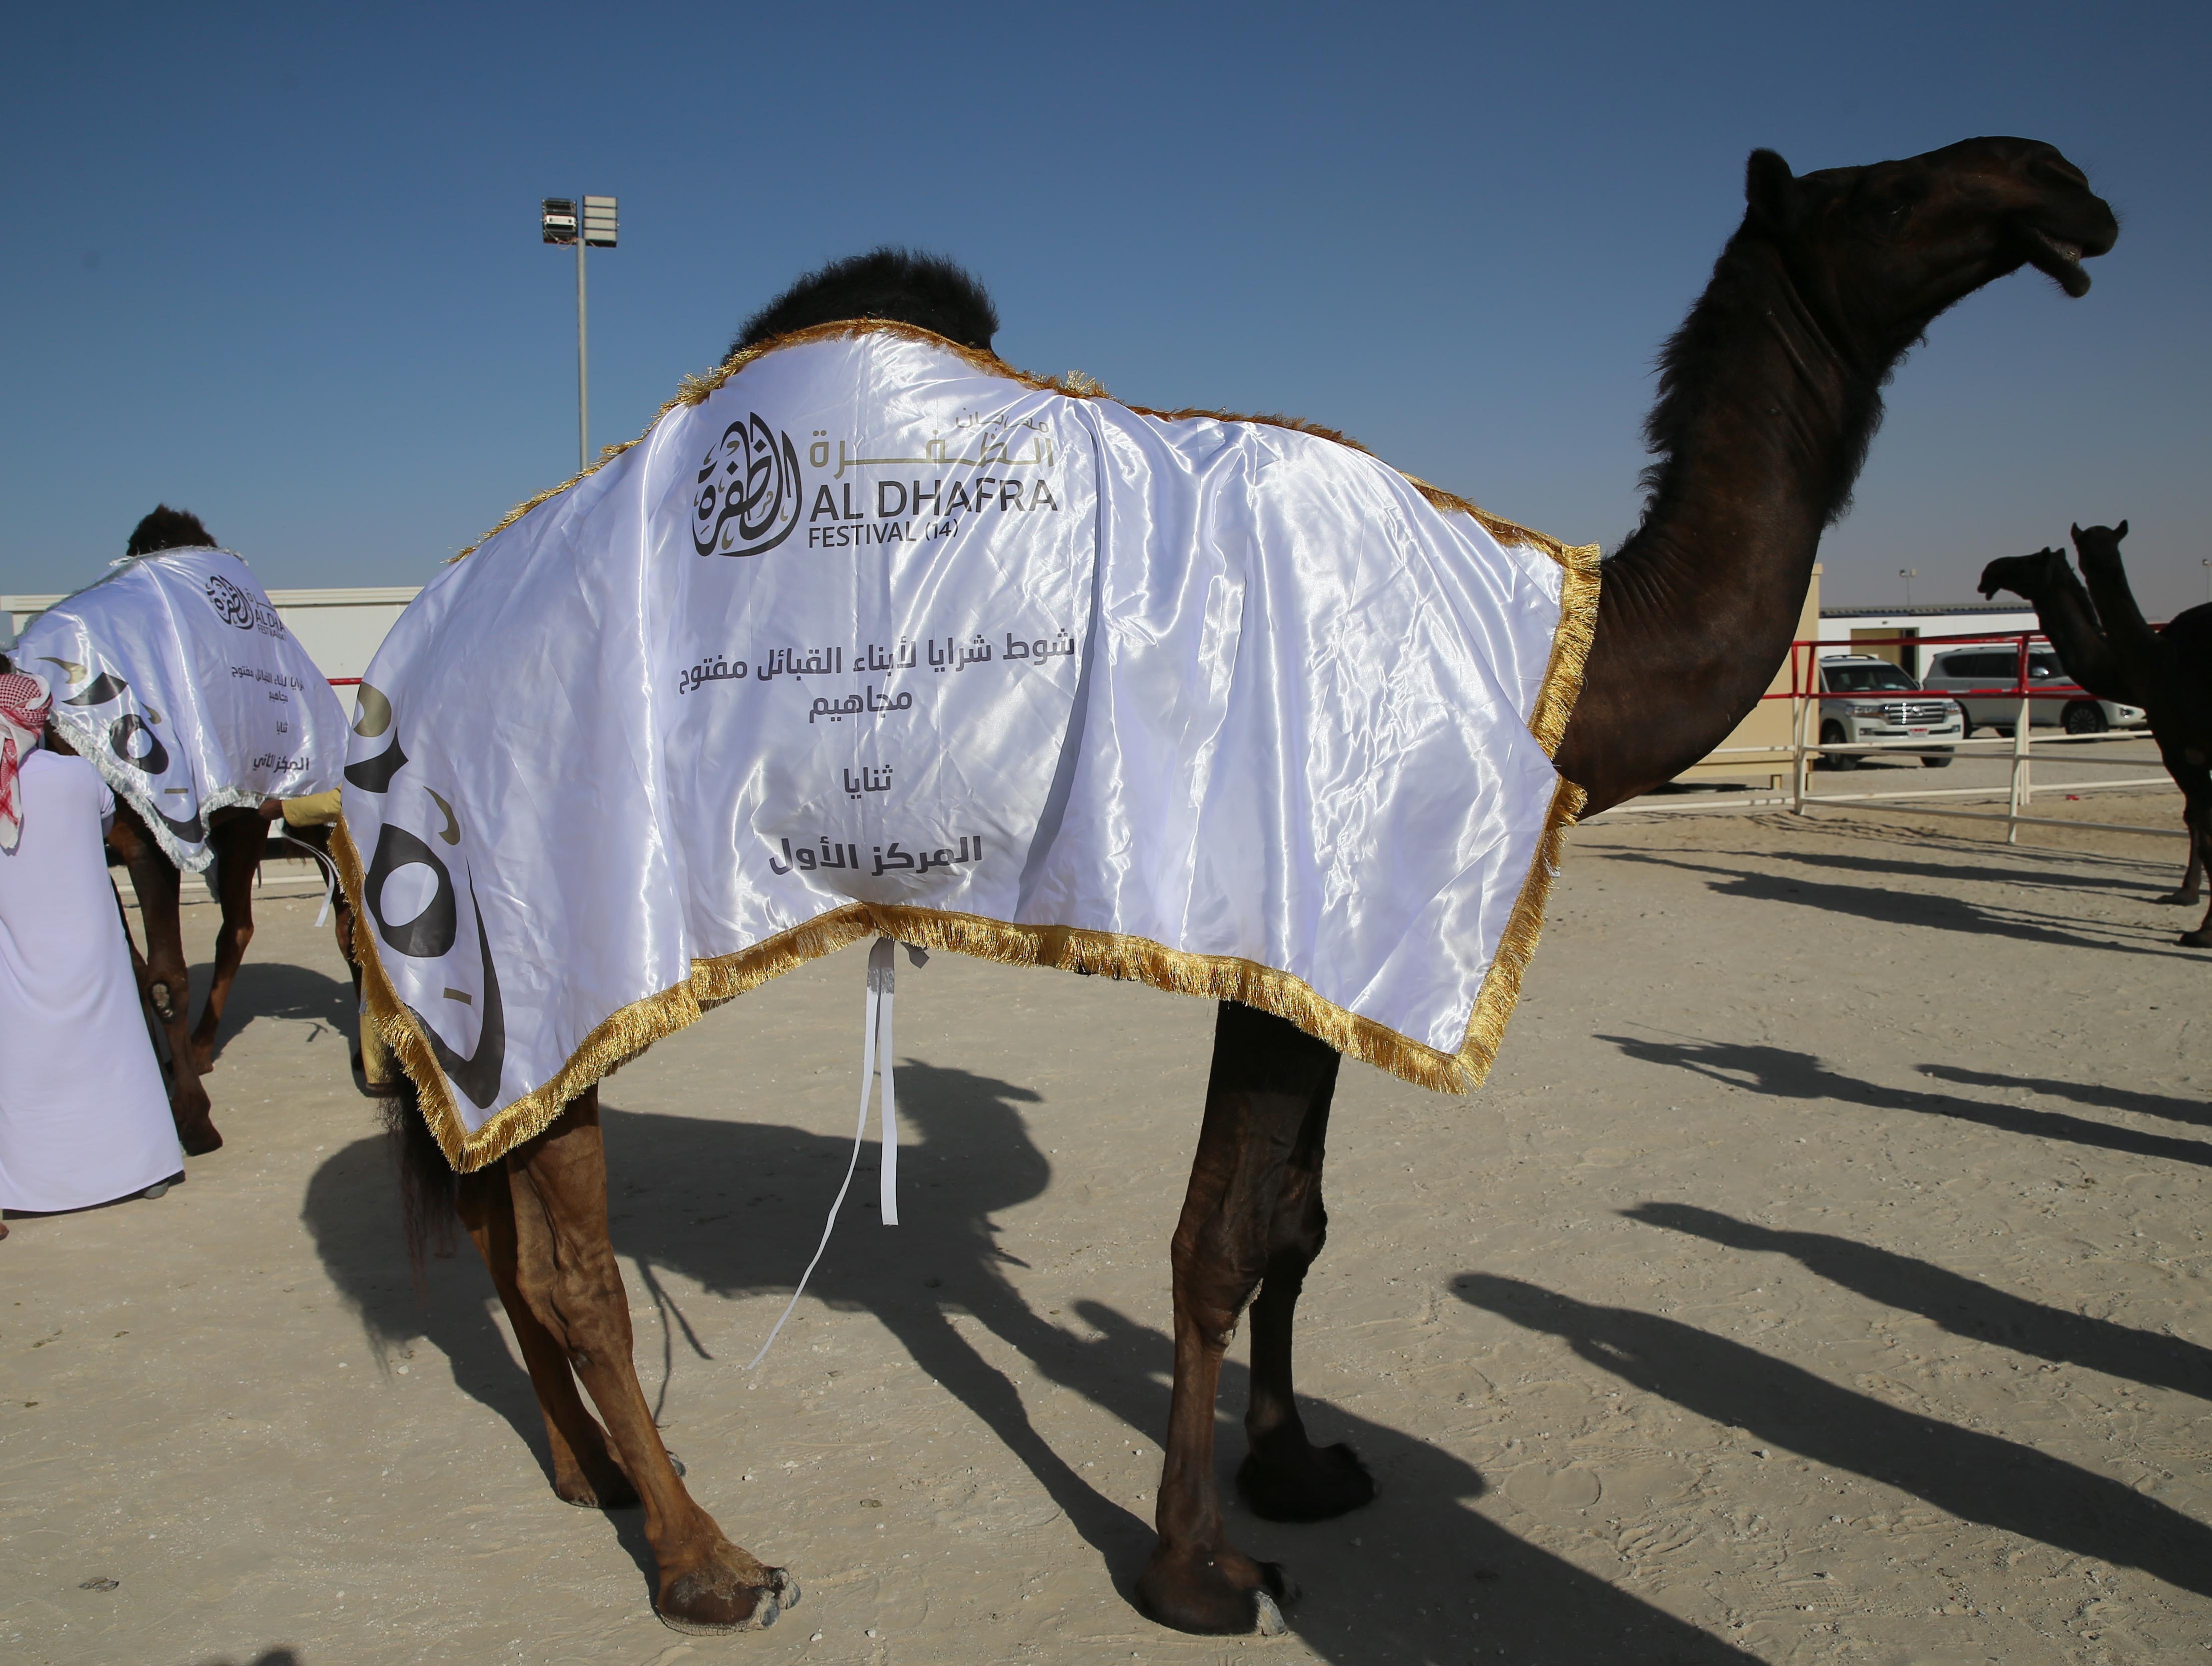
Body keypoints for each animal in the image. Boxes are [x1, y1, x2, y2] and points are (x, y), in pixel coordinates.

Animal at [376, 133, 2105, 1637]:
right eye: (1875, 189)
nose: (2061, 183)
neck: (1542, 652)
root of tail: (388, 668)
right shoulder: (1286, 929)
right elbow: (1216, 1239)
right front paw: (1194, 1568)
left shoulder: (1330, 959)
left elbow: (1295, 1223)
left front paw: (1296, 1467)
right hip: (557, 921)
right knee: (572, 1264)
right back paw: (706, 1562)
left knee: (498, 1223)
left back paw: (592, 1476)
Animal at [1982, 520, 2212, 938]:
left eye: (2032, 559)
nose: (1991, 570)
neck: (2155, 658)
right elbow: (2198, 819)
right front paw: (2185, 896)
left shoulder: (2180, 746)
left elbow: (2200, 820)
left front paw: (2197, 918)